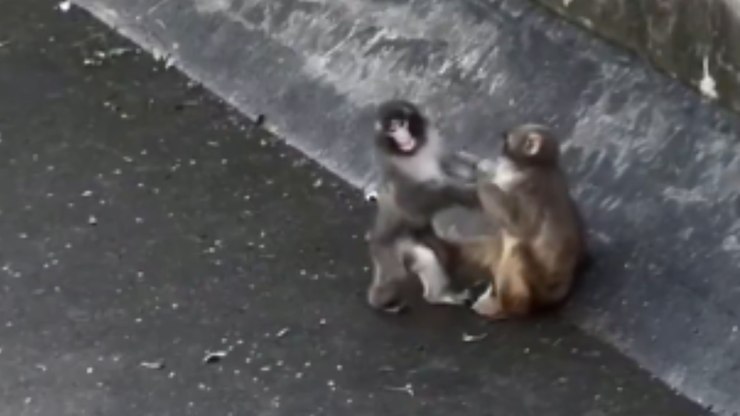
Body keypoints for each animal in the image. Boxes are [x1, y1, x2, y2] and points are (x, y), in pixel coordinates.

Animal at [365, 99, 483, 312]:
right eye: (392, 129)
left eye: (402, 124)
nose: (402, 137)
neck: (413, 153)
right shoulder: (394, 169)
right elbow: (412, 203)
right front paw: (461, 192)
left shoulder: (432, 142)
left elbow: (447, 163)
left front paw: (476, 168)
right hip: (390, 249)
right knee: (403, 273)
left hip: (421, 234)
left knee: (434, 253)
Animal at [451, 124, 588, 320]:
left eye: (506, 140)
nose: (500, 146)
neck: (533, 165)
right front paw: (472, 164)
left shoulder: (526, 187)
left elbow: (518, 225)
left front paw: (479, 182)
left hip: (535, 290)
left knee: (517, 248)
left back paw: (506, 307)